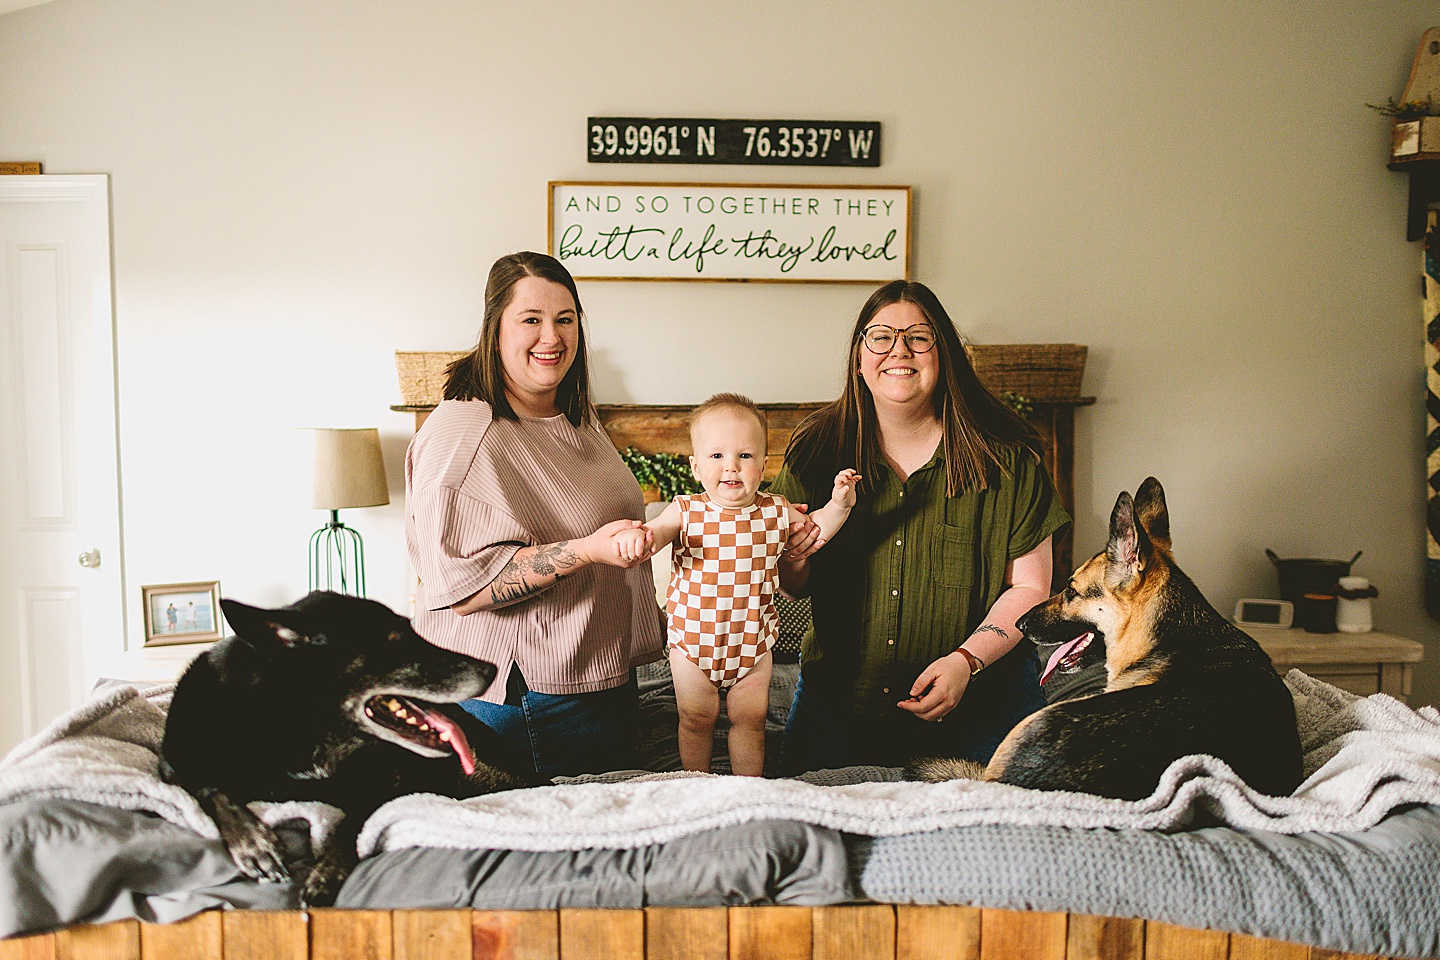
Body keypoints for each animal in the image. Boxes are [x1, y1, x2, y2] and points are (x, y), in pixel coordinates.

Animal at [159, 590, 541, 903]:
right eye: (395, 641)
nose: (492, 669)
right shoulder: (175, 764)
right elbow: (208, 788)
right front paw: (254, 843)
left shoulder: (388, 779)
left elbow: (353, 819)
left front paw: (327, 873)